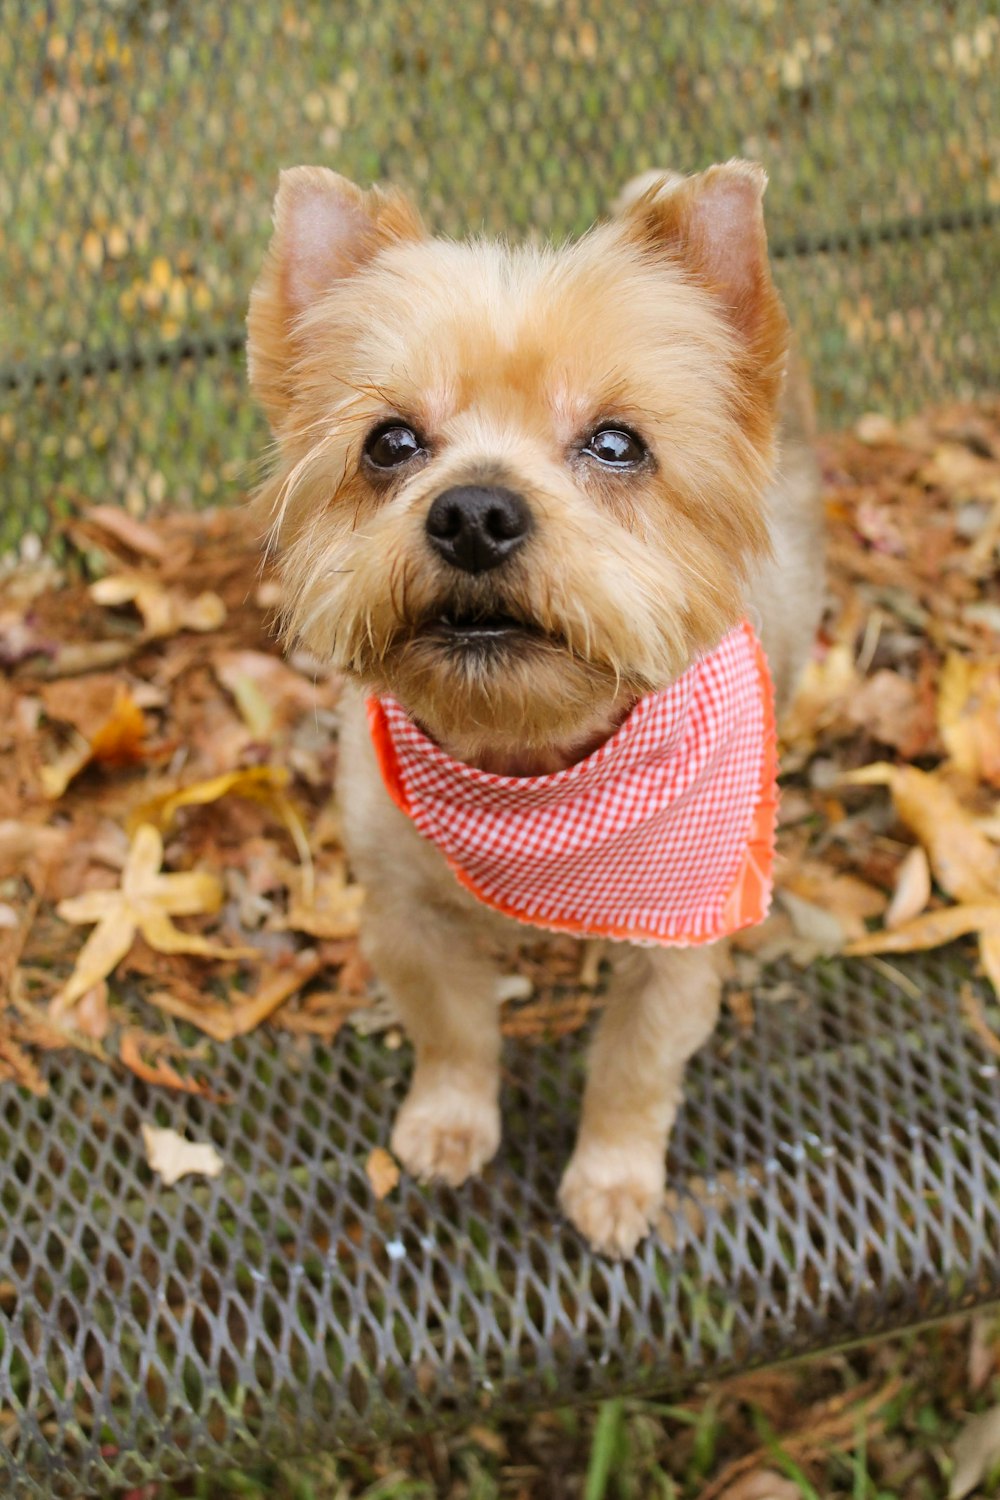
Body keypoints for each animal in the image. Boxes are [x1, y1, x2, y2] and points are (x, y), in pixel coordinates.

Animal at [245, 161, 827, 1254]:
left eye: (617, 443)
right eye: (390, 442)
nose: (474, 512)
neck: (530, 766)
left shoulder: (678, 937)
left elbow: (634, 1067)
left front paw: (613, 1177)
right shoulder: (405, 918)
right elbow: (454, 1031)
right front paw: (448, 1123)